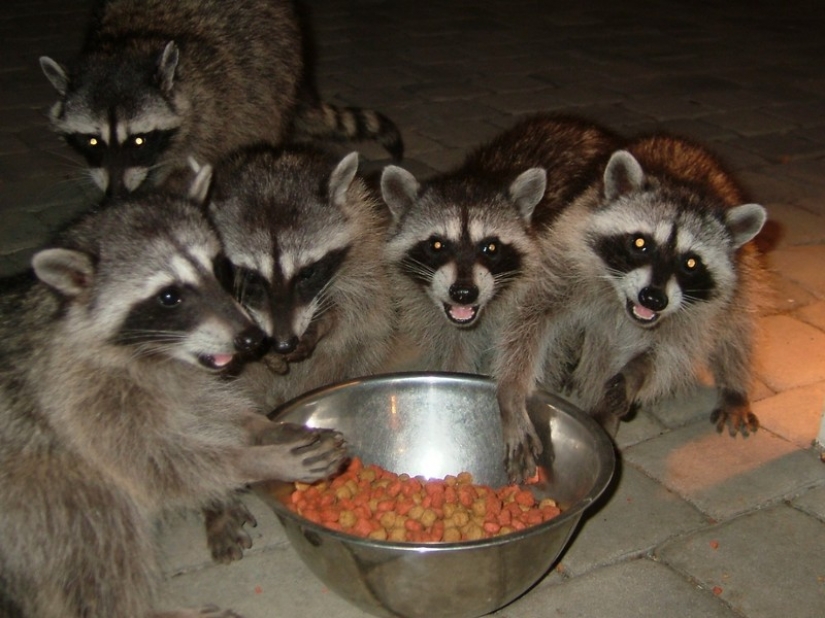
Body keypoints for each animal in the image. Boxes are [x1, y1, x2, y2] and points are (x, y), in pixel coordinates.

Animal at [0, 170, 347, 617]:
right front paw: (255, 459)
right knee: (98, 529)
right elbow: (154, 464)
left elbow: (199, 405)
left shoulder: (176, 374)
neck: (154, 352)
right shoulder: (75, 395)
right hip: (34, 487)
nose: (253, 340)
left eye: (219, 268)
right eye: (169, 296)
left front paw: (262, 426)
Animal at [39, 0, 403, 197]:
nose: (115, 191)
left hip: (272, 72)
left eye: (139, 140)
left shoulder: (214, 108)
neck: (128, 43)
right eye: (92, 141)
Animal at [207, 144, 397, 409]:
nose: (284, 344)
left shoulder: (364, 247)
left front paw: (321, 323)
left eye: (307, 273)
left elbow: (354, 306)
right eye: (251, 277)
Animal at [494, 132, 767, 482]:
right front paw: (512, 394)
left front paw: (637, 372)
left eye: (691, 262)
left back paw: (732, 384)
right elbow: (531, 318)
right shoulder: (566, 252)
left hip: (742, 273)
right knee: (597, 343)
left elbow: (673, 354)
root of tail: (682, 143)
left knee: (736, 326)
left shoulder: (699, 312)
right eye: (640, 243)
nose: (653, 298)